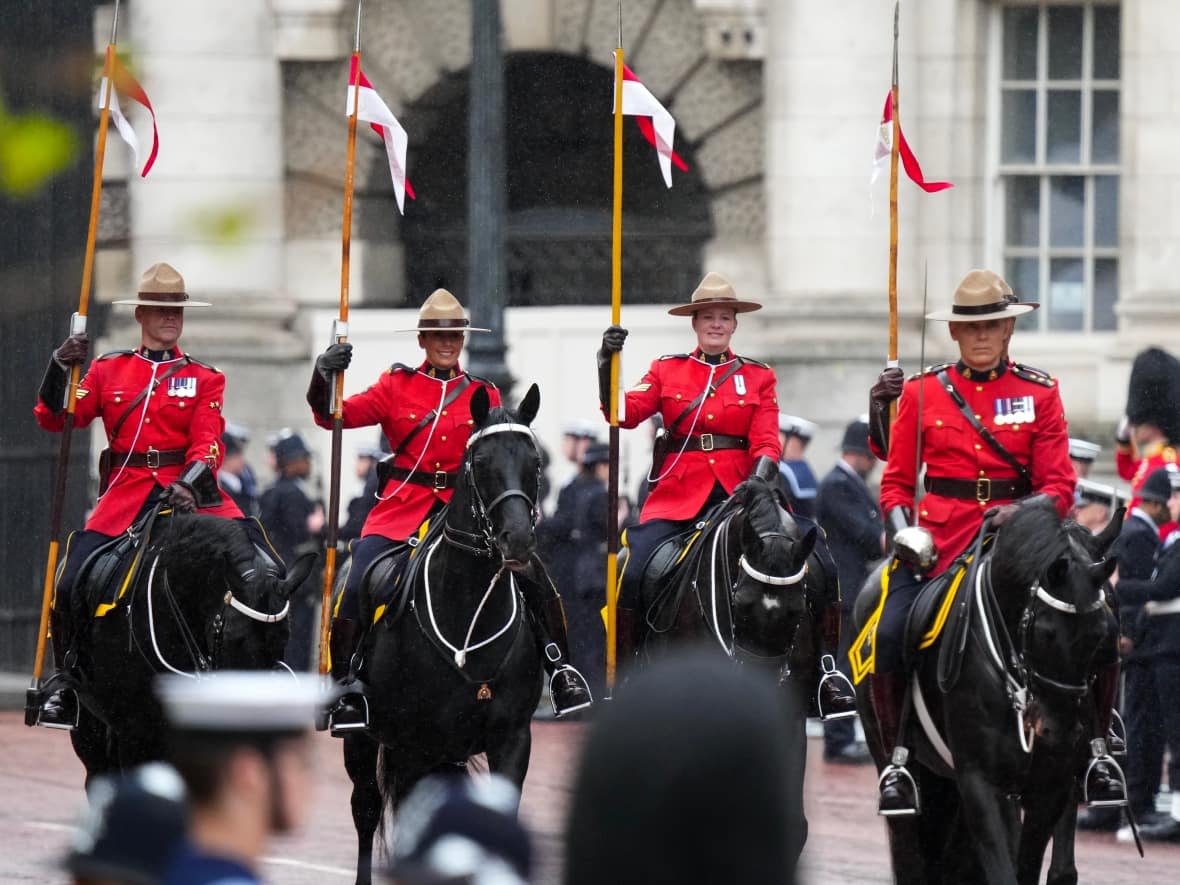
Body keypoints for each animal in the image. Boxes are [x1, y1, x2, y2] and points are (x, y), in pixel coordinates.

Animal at [339, 387, 545, 885]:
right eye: (481, 461)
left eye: (535, 461)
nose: (517, 541)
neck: (467, 609)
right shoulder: (416, 742)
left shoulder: (512, 737)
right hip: (365, 739)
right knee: (367, 807)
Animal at [854, 502, 1118, 882]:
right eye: (1045, 632)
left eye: (1100, 634)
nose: (1059, 731)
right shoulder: (981, 781)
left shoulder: (1050, 783)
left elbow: (1039, 866)